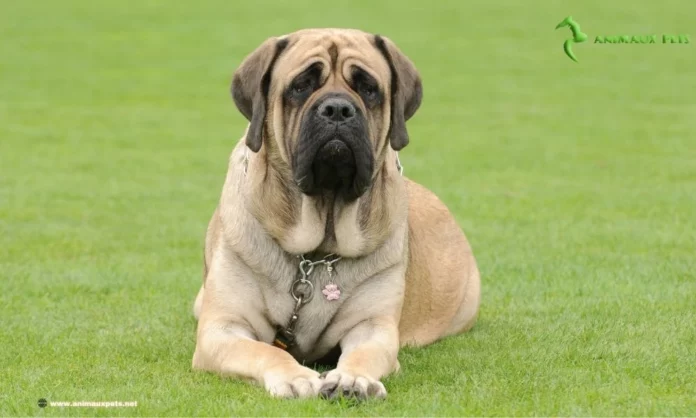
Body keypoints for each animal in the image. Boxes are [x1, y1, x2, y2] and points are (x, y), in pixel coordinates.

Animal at [193, 27, 482, 400]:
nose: (337, 109)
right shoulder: (221, 329)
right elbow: (266, 350)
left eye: (368, 88)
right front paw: (294, 376)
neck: (316, 252)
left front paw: (352, 379)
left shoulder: (373, 327)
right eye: (301, 85)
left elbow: (363, 353)